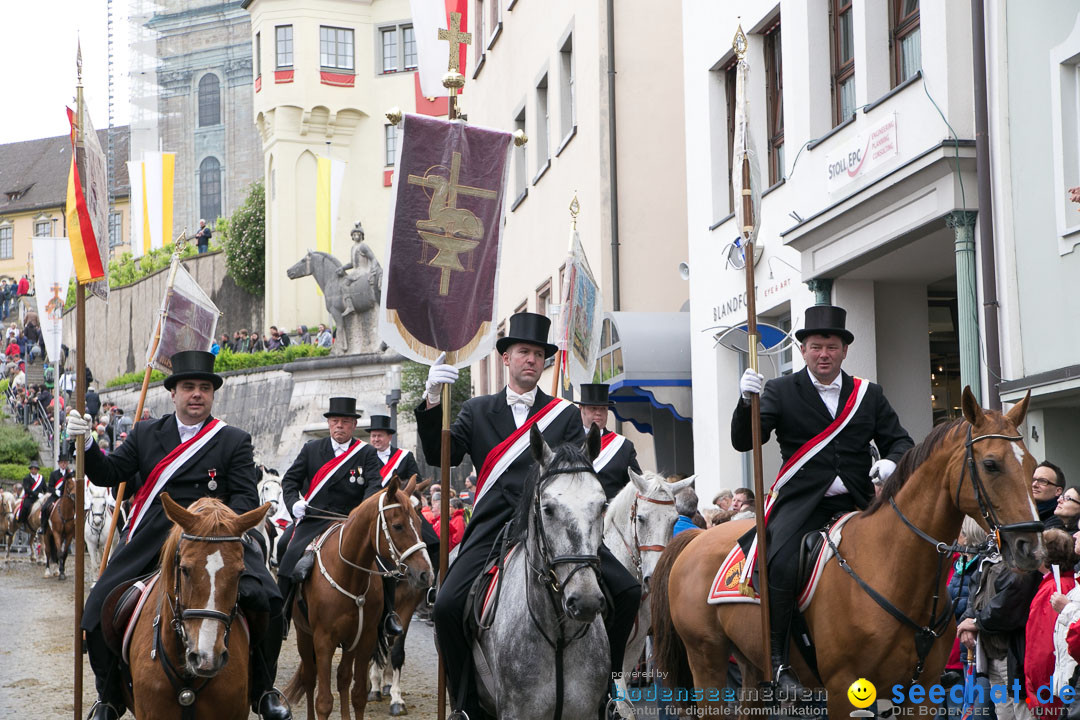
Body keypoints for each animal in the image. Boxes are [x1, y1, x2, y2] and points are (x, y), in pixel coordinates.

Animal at [282, 474, 434, 716]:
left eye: (420, 521)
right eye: (398, 526)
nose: (425, 574)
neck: (349, 576)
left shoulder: (366, 635)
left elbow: (360, 693)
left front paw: (394, 697)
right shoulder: (323, 640)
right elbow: (323, 701)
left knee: (343, 678)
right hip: (304, 634)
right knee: (309, 678)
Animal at [648, 390, 1045, 716]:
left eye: (1030, 466)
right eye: (991, 464)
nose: (1030, 547)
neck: (892, 567)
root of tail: (695, 538)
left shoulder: (922, 693)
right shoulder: (844, 691)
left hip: (749, 664)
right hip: (707, 658)